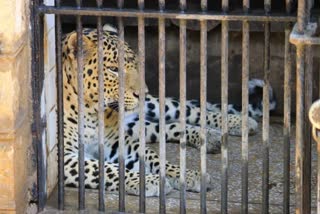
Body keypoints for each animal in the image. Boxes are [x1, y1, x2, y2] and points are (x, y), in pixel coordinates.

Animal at [60, 24, 272, 196]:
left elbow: (152, 156)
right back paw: (212, 136)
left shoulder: (115, 141)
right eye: (113, 69)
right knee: (163, 127)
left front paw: (187, 175)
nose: (143, 92)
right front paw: (148, 182)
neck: (93, 112)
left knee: (185, 111)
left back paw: (235, 125)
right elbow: (107, 169)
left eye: (135, 64)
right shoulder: (65, 158)